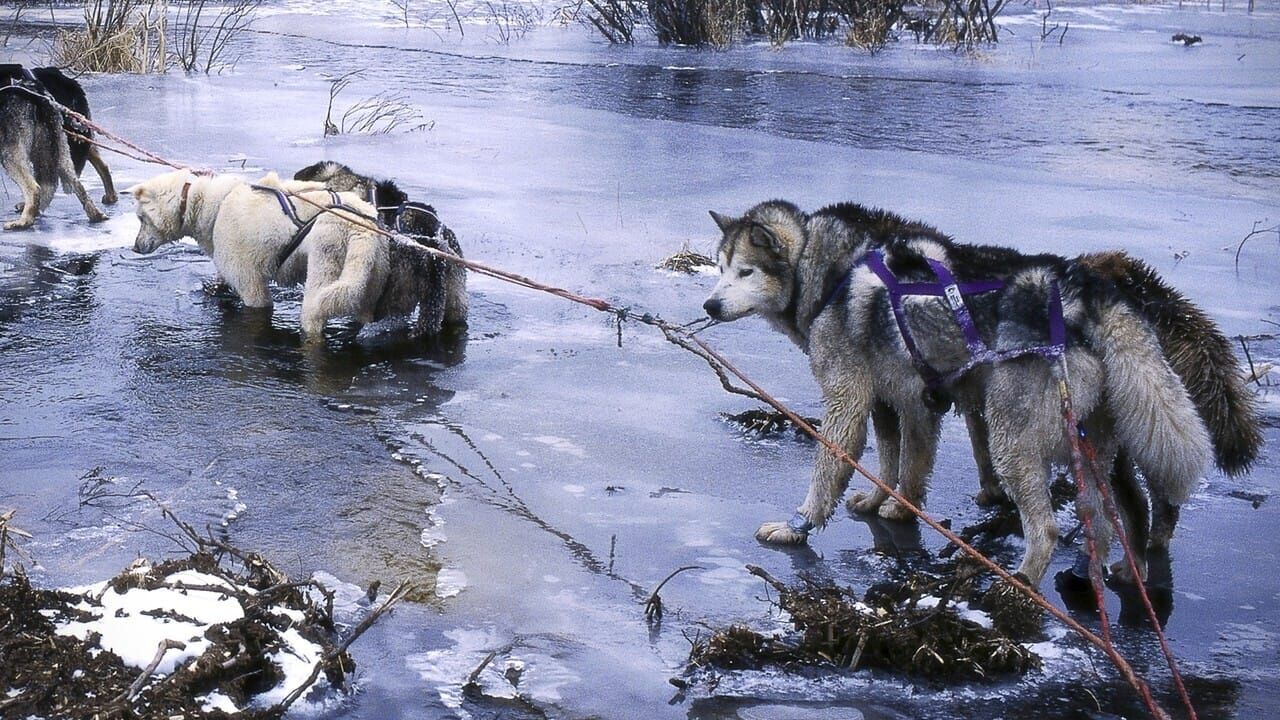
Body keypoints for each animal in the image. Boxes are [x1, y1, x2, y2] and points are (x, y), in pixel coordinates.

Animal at [0, 64, 106, 228]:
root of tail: (38, 95)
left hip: (10, 155)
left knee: (34, 188)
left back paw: (23, 221)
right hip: (61, 154)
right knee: (77, 184)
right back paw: (96, 215)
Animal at [128, 167, 455, 335]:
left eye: (141, 218)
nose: (134, 247)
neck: (213, 204)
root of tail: (361, 226)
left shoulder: (251, 282)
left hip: (325, 264)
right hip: (368, 275)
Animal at [706, 199, 1264, 584]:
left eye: (745, 272)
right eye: (719, 267)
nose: (710, 305)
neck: (827, 269)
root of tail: (1087, 292)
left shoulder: (852, 399)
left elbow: (835, 467)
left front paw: (798, 526)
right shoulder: (899, 401)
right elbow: (898, 462)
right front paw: (889, 503)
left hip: (1012, 439)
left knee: (1052, 526)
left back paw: (1022, 586)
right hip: (1089, 441)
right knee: (1112, 515)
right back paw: (1105, 572)